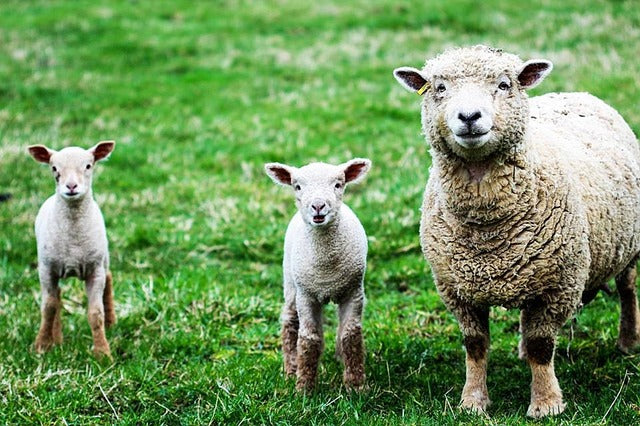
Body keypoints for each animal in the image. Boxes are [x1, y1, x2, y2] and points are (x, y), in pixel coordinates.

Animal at [28, 141, 117, 359]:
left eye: (88, 166)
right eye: (54, 168)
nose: (71, 186)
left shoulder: (94, 270)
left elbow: (96, 313)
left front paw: (102, 353)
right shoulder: (46, 269)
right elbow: (48, 308)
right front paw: (42, 345)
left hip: (103, 257)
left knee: (109, 277)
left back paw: (111, 323)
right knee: (57, 297)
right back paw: (57, 338)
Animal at [265, 158, 371, 391]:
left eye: (338, 184)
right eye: (297, 186)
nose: (318, 206)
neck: (326, 268)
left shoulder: (354, 292)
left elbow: (351, 336)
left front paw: (356, 386)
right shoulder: (307, 296)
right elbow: (309, 339)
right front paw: (304, 388)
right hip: (291, 283)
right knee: (289, 320)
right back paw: (291, 368)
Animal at [393, 45, 640, 418]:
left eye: (504, 84)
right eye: (439, 88)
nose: (469, 116)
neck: (487, 232)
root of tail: (577, 93)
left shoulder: (557, 286)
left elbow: (542, 346)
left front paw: (546, 404)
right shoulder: (457, 290)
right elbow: (475, 345)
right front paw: (473, 401)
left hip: (627, 248)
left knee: (627, 291)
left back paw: (627, 342)